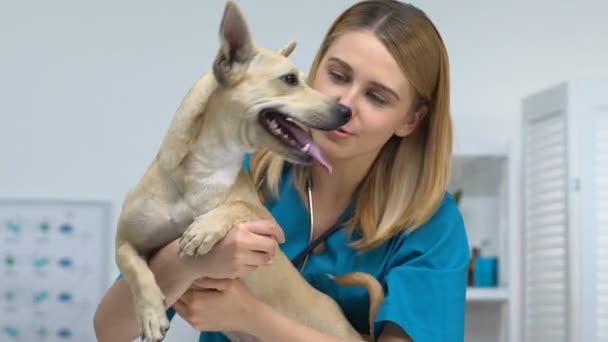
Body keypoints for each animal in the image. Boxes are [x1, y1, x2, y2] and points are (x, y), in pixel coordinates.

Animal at [111, 1, 382, 340]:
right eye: (290, 79)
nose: (346, 111)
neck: (204, 169)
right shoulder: (125, 240)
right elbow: (135, 269)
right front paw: (150, 314)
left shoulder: (268, 225)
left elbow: (241, 207)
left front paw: (205, 227)